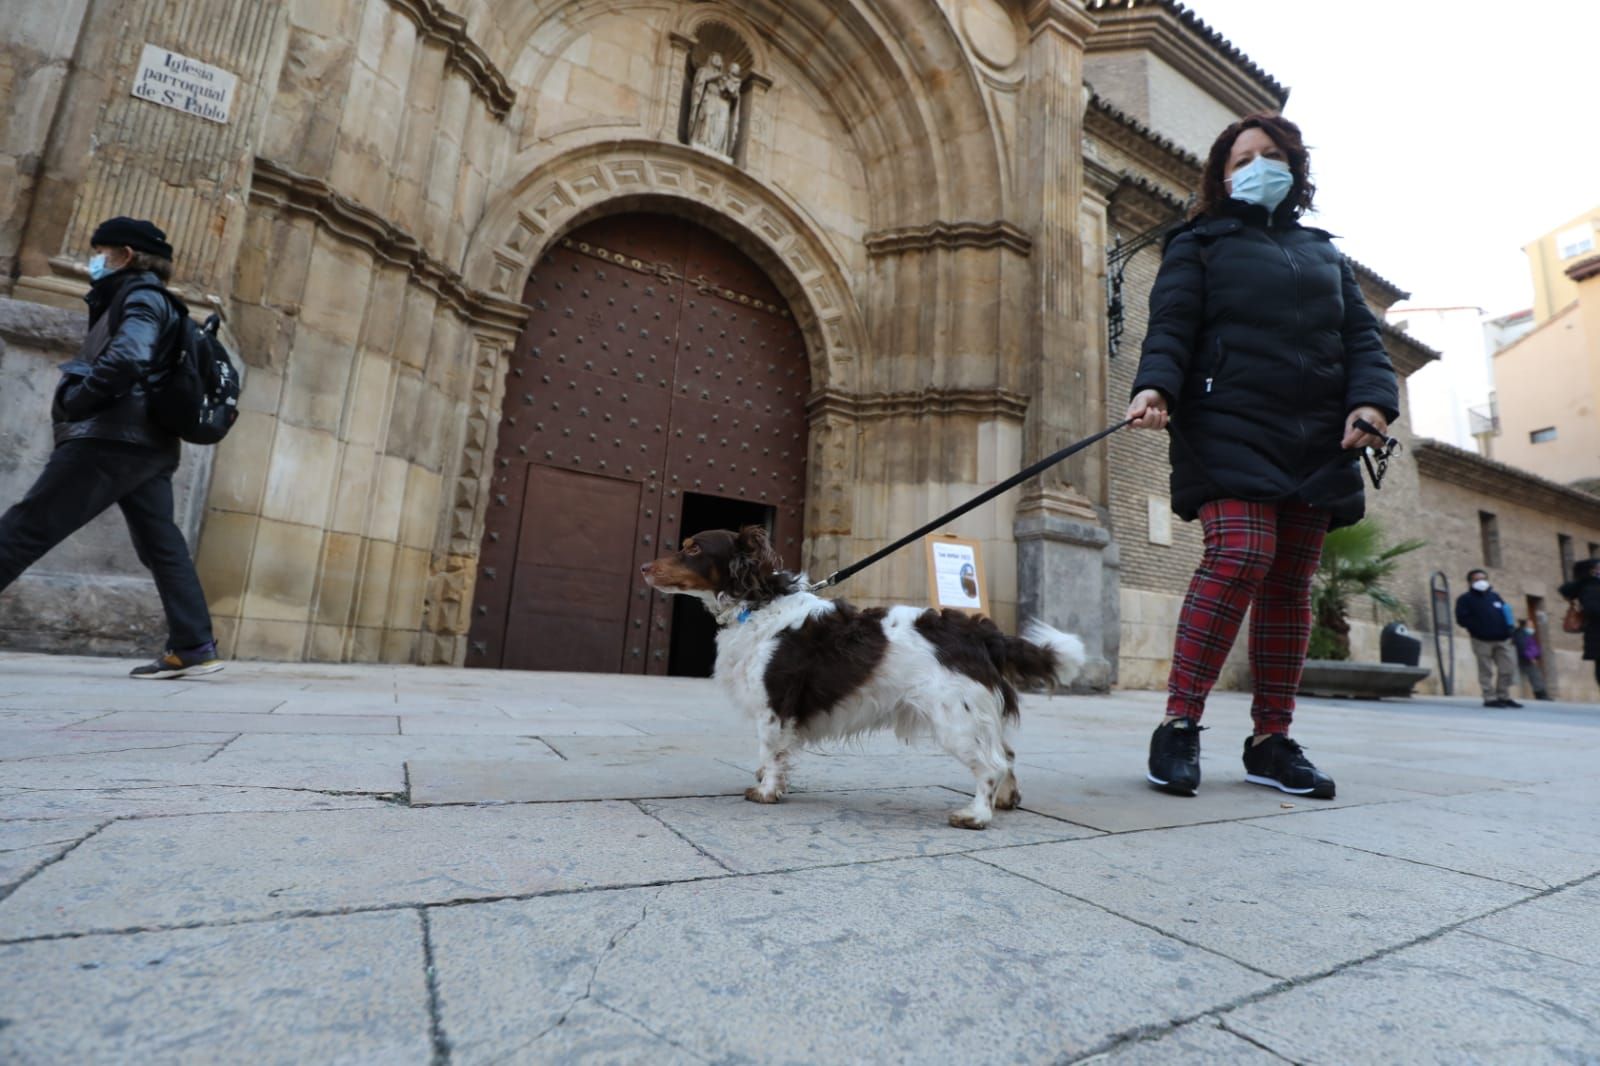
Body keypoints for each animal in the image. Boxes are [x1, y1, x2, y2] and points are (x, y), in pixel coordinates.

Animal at [640, 528, 1088, 825]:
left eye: (693, 548)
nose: (644, 566)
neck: (758, 603)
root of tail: (980, 632)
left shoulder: (773, 706)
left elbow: (770, 752)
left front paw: (765, 792)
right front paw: (768, 783)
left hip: (956, 720)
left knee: (991, 764)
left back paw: (976, 814)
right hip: (974, 715)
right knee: (1006, 755)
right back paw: (1007, 800)